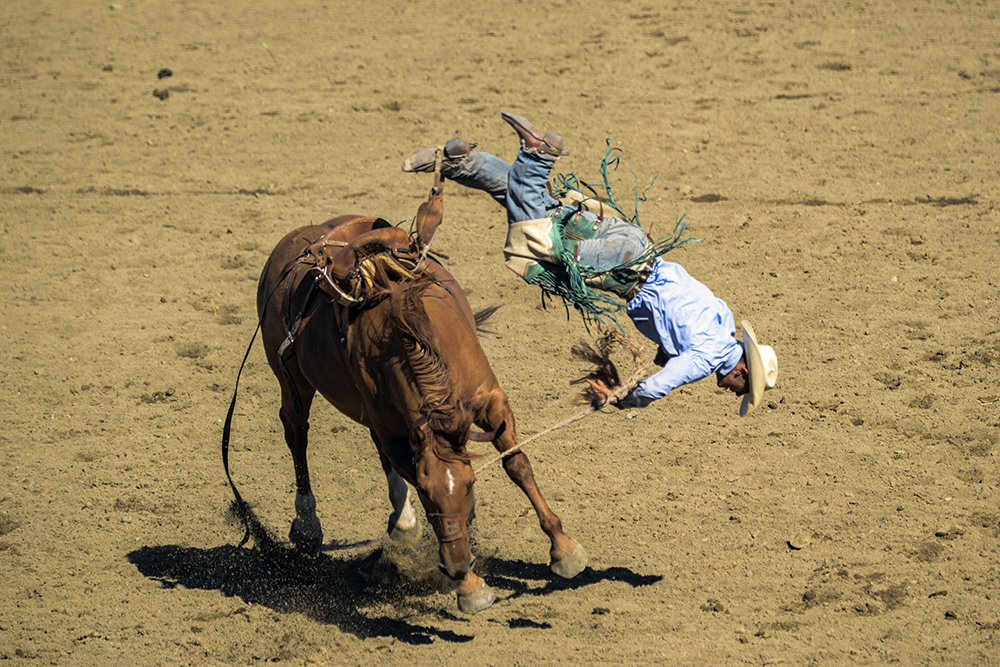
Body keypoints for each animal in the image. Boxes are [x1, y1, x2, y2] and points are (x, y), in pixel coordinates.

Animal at [252, 214, 584, 616]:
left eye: (471, 484)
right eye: (426, 493)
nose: (456, 567)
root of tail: (292, 241)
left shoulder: (491, 403)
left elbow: (517, 466)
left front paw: (563, 548)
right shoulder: (399, 437)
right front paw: (470, 586)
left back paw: (400, 522)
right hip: (292, 380)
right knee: (296, 431)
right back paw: (309, 525)